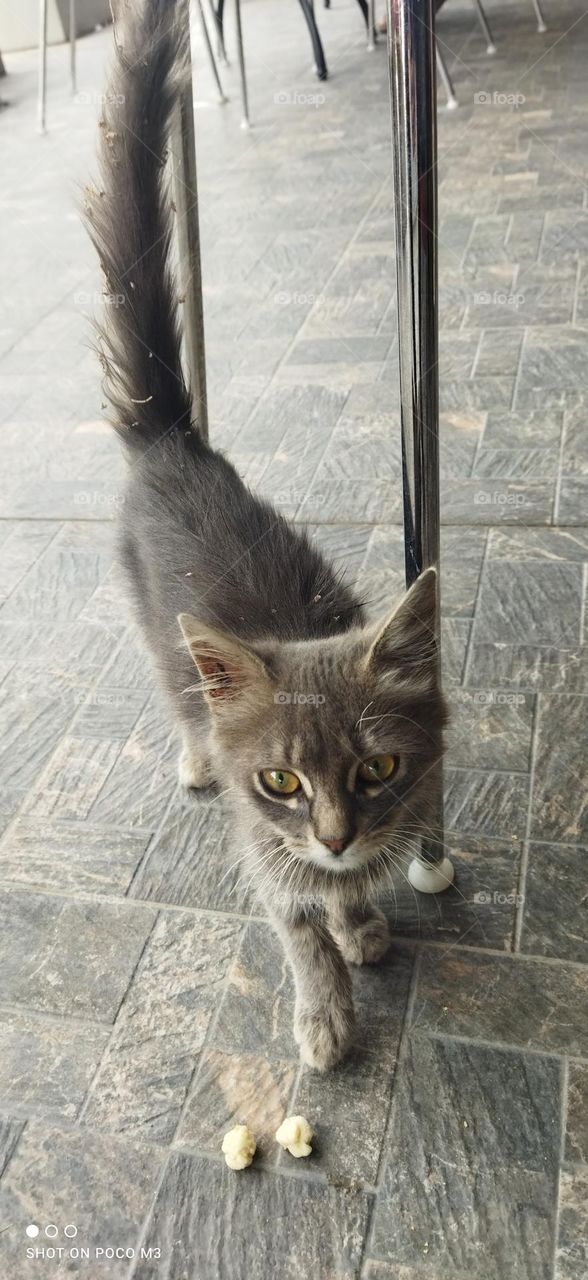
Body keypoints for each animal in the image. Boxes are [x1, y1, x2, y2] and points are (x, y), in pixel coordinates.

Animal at [86, 0, 445, 1070]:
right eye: (281, 779)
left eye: (379, 770)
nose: (332, 836)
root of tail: (173, 440)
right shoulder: (266, 839)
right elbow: (294, 923)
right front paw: (326, 1008)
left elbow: (351, 895)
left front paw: (361, 918)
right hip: (152, 627)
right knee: (175, 692)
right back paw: (196, 754)